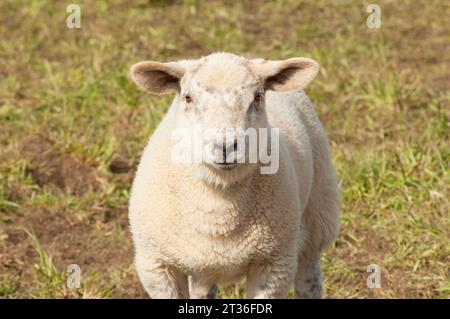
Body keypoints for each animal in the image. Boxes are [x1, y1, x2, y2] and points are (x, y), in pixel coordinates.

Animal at [128, 52, 340, 300]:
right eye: (188, 98)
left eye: (257, 96)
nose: (225, 147)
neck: (218, 211)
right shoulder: (157, 266)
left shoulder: (274, 266)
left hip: (319, 213)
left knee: (309, 275)